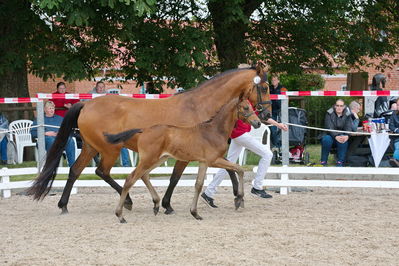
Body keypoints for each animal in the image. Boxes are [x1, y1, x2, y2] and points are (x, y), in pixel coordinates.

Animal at [106, 97, 262, 222]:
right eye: (246, 107)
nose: (258, 123)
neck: (214, 131)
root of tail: (144, 130)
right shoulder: (212, 161)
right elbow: (238, 169)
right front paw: (238, 199)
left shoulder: (203, 162)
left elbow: (200, 184)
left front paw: (195, 213)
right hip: (148, 160)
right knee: (130, 179)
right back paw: (120, 215)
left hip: (159, 159)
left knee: (143, 175)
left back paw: (156, 205)